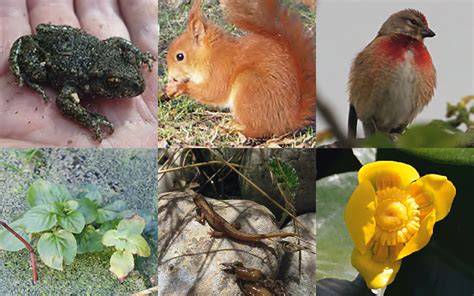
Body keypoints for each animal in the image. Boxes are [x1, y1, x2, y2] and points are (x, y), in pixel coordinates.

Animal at [165, 0, 316, 139]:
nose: (171, 77)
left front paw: (179, 87)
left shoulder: (220, 69)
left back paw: (233, 129)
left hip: (248, 86)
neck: (210, 54)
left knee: (259, 131)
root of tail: (289, 119)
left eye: (180, 56)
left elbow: (213, 92)